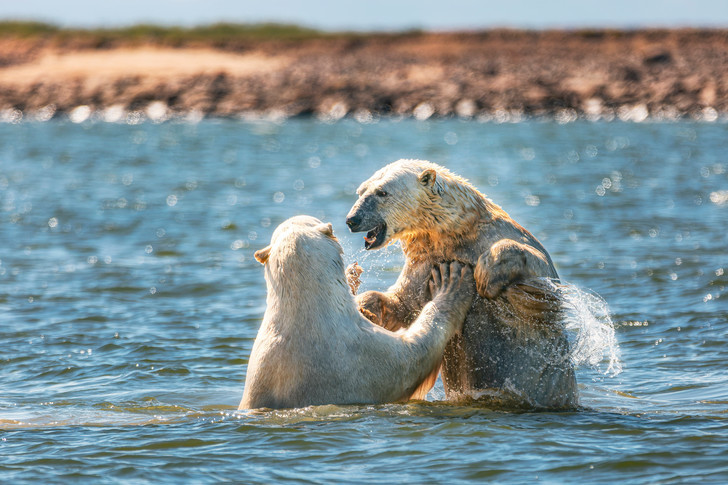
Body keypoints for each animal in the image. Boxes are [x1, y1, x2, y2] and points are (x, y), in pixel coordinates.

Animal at [346, 160, 580, 408]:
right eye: (361, 191)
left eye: (382, 192)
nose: (352, 220)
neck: (456, 232)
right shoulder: (427, 261)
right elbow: (404, 303)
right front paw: (365, 307)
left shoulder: (500, 241)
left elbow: (538, 273)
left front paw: (485, 273)